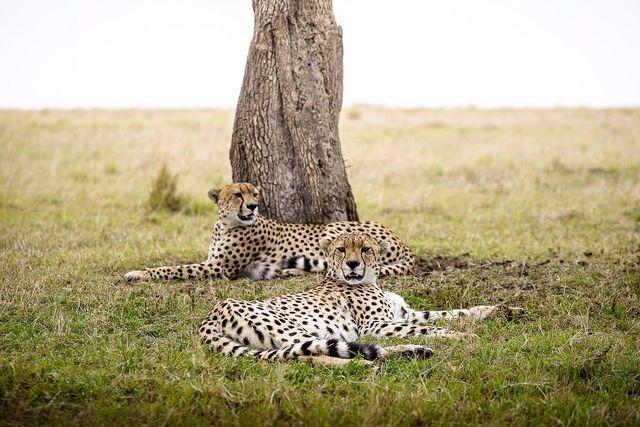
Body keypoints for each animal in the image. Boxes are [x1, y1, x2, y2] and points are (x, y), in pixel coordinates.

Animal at [125, 182, 416, 282]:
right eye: (238, 194)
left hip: (332, 229)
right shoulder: (212, 261)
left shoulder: (219, 268)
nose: (253, 206)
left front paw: (139, 274)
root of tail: (402, 241)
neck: (226, 224)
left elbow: (173, 269)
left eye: (255, 194)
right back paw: (289, 271)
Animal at [200, 232, 524, 366]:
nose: (353, 264)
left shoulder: (404, 314)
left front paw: (504, 310)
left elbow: (450, 313)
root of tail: (213, 311)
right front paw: (463, 336)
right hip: (295, 330)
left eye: (365, 248)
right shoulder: (377, 326)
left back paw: (413, 352)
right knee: (310, 354)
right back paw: (372, 363)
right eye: (341, 249)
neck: (370, 280)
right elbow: (433, 326)